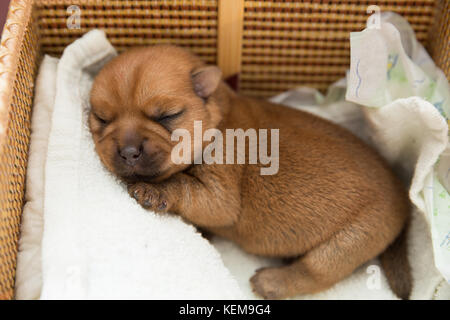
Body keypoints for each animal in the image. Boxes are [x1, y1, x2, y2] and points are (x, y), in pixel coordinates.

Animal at [89, 45, 414, 300]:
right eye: (102, 119)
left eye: (167, 116)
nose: (128, 152)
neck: (219, 116)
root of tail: (403, 196)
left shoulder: (221, 189)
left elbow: (186, 186)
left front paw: (154, 191)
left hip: (353, 238)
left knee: (316, 271)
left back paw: (270, 282)